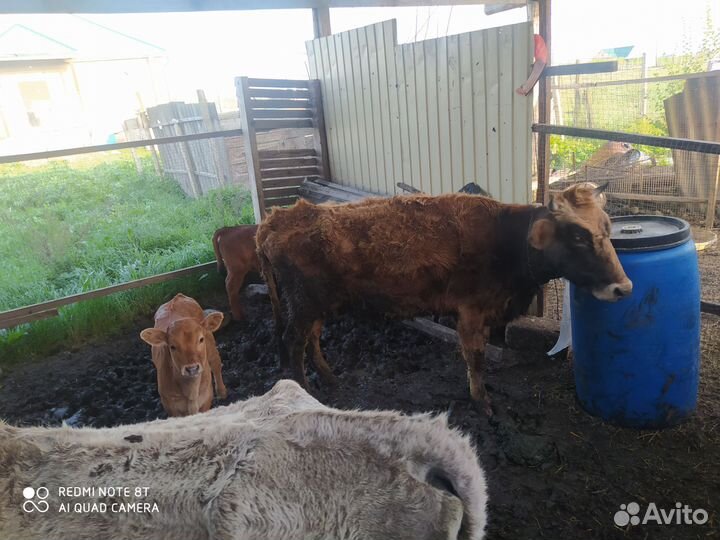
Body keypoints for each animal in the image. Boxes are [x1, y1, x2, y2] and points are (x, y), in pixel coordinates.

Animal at [256, 183, 632, 415]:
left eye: (607, 227)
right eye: (579, 235)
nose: (623, 288)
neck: (506, 238)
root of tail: (278, 217)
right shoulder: (470, 311)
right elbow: (476, 359)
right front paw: (482, 402)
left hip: (315, 305)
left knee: (312, 340)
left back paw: (331, 378)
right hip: (303, 304)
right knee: (293, 342)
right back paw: (307, 390)